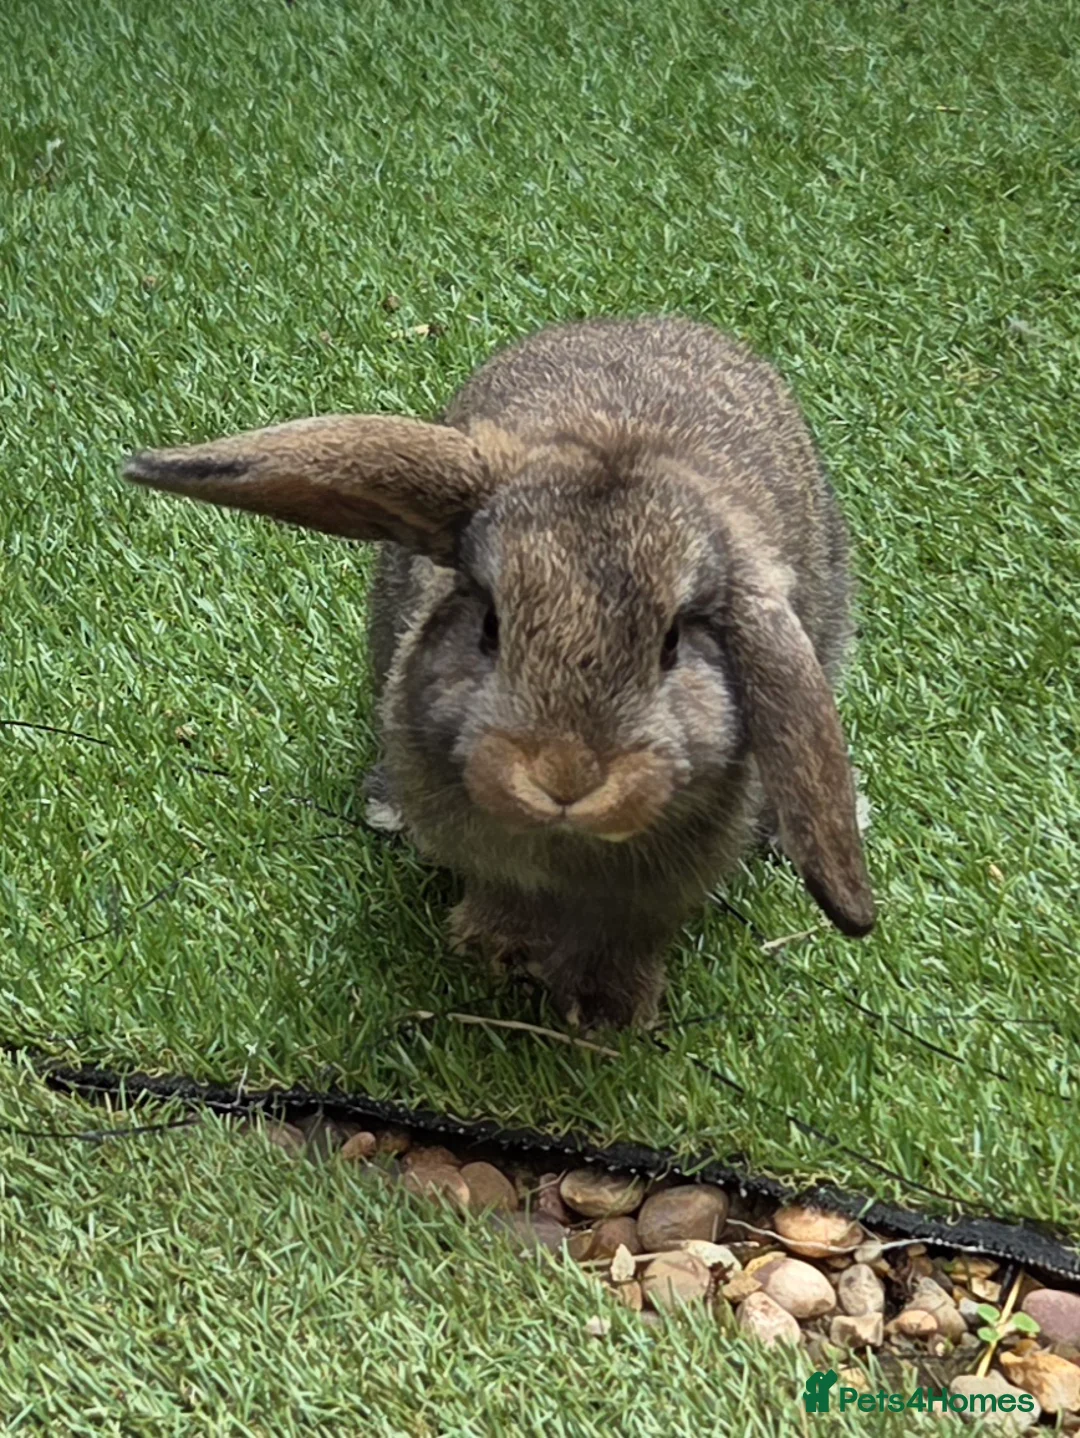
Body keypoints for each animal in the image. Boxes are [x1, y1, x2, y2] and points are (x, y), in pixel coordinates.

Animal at [123, 316, 875, 1031]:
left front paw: (609, 1009)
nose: (564, 776)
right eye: (491, 625)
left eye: (670, 644)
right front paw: (494, 950)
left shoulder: (657, 888)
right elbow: (504, 894)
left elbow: (628, 932)